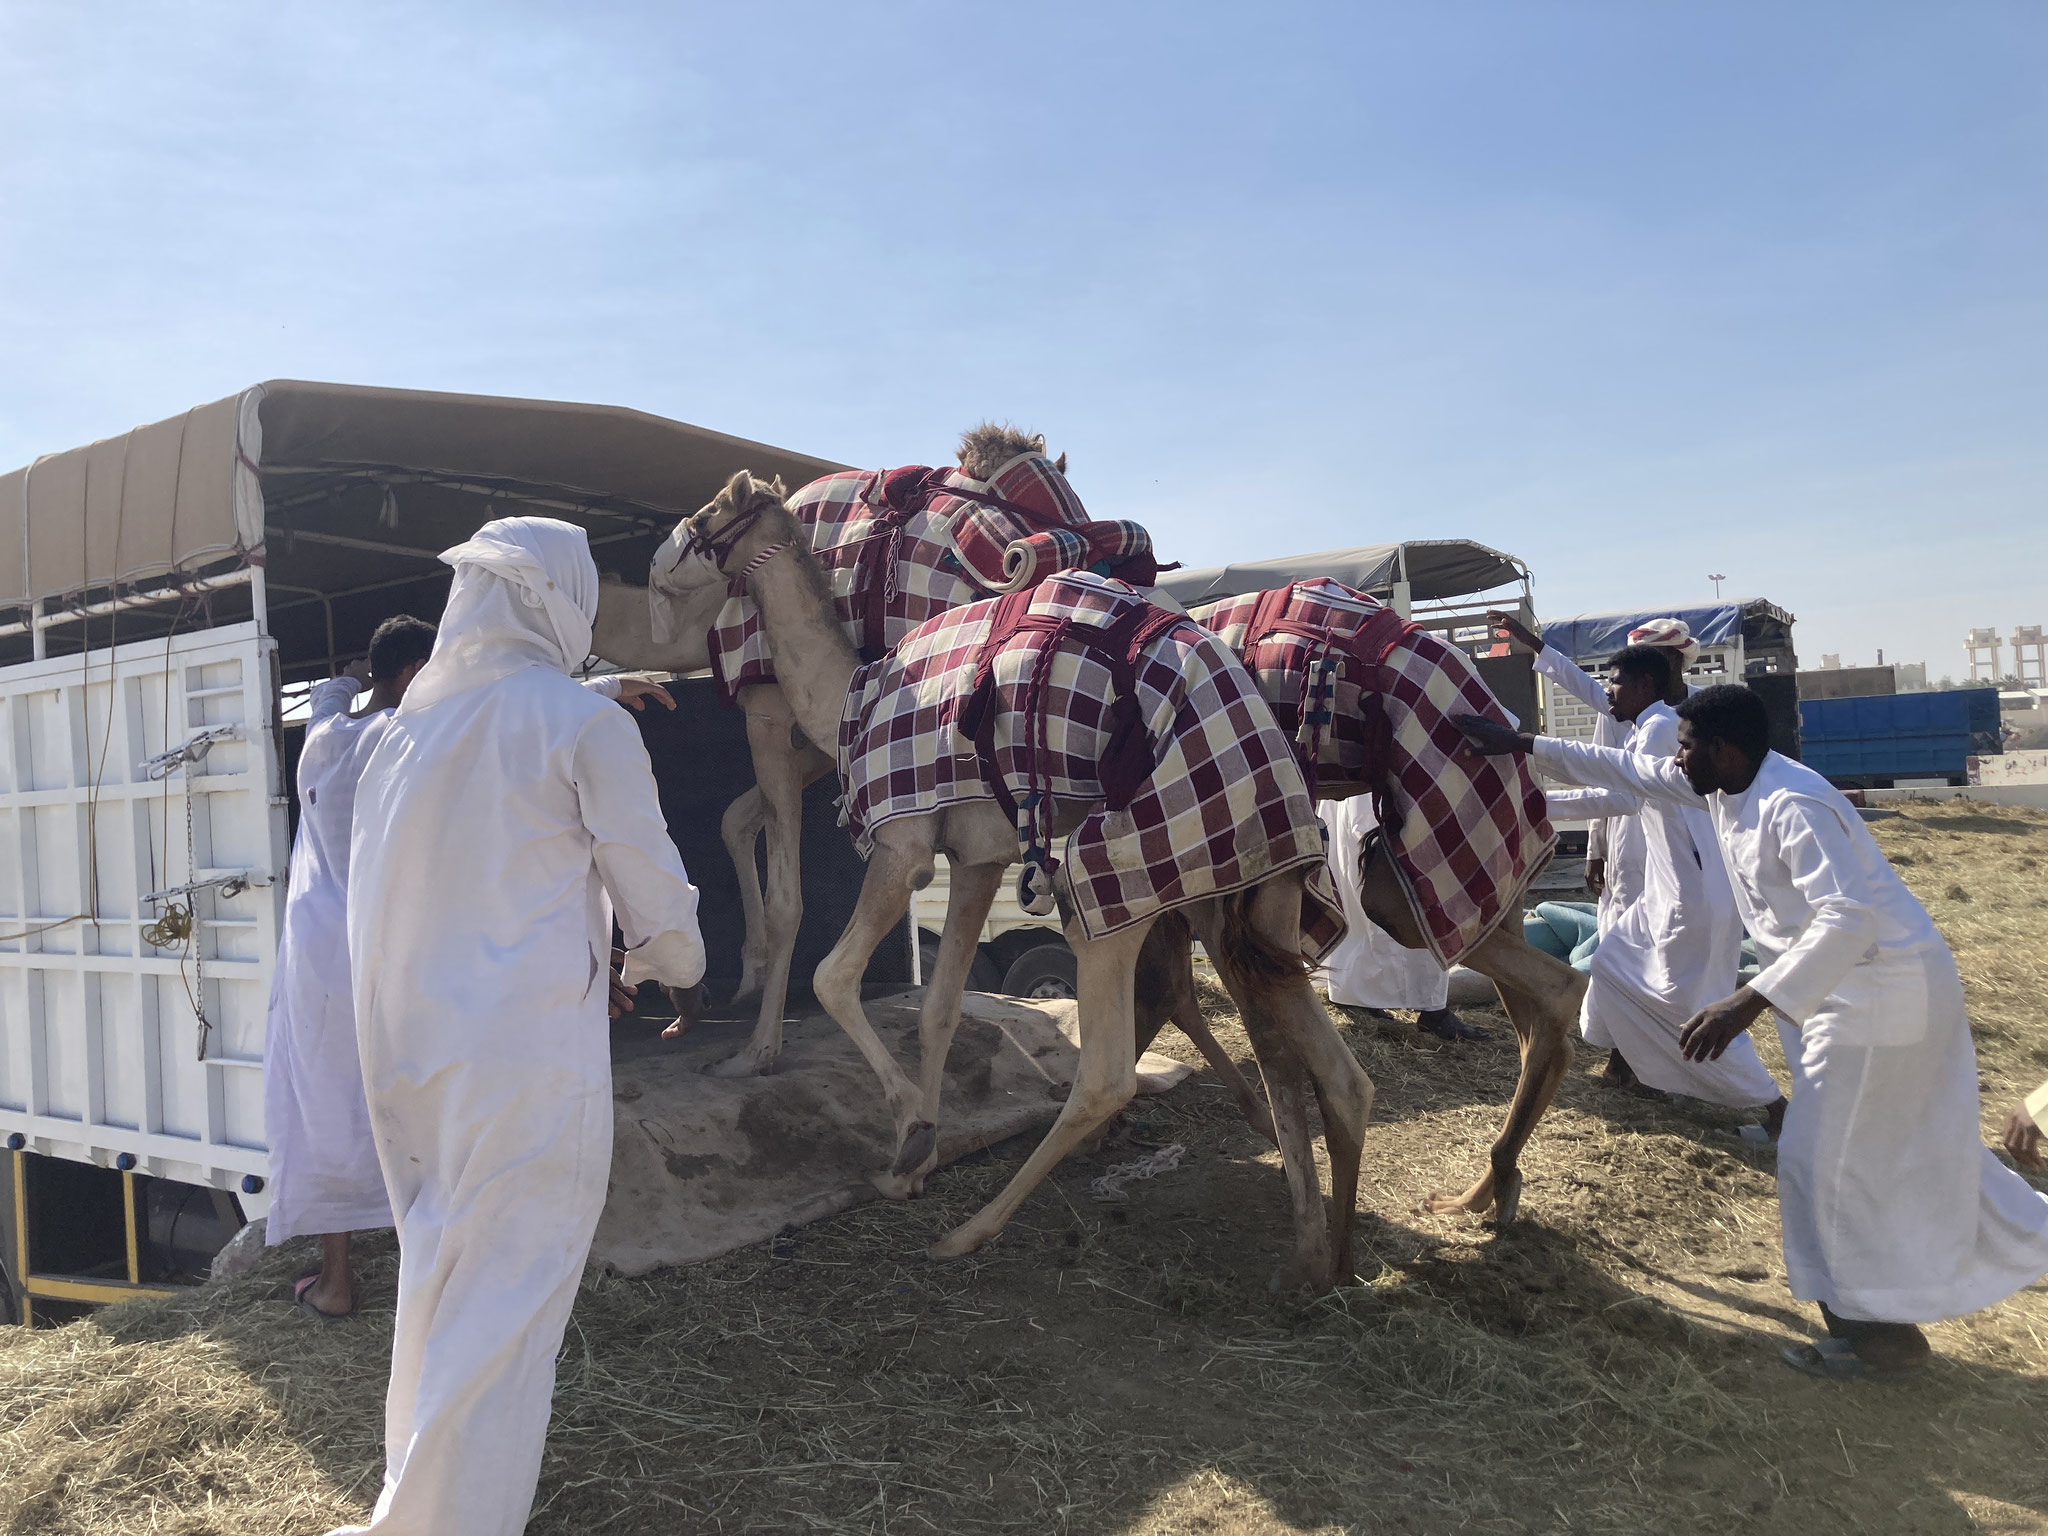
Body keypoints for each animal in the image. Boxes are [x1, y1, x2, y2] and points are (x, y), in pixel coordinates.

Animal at [671, 468, 1376, 1286]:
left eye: (710, 513)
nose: (665, 555)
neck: (849, 699)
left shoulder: (904, 846)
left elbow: (835, 977)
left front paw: (911, 1133)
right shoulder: (978, 858)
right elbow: (939, 1009)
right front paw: (915, 1159)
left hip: (1119, 872)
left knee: (1108, 1074)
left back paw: (969, 1233)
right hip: (1257, 892)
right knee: (1339, 1072)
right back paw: (1327, 1261)